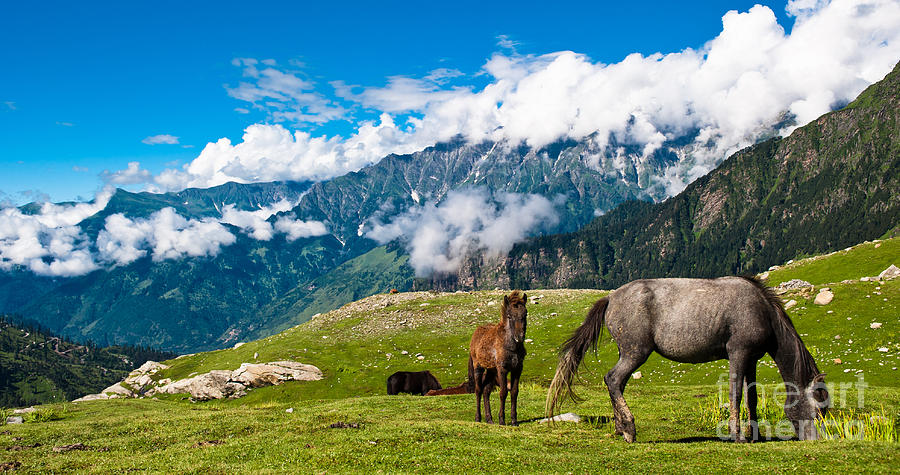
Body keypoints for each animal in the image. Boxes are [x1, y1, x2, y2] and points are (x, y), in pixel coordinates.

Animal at [472, 290, 528, 428]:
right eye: (509, 316)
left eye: (525, 314)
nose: (520, 337)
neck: (512, 347)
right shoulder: (502, 369)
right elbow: (503, 392)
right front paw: (502, 420)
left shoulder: (517, 369)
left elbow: (514, 392)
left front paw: (514, 421)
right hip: (478, 367)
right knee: (478, 390)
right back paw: (478, 418)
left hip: (491, 370)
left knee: (486, 391)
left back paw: (489, 419)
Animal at [544, 278, 828, 444]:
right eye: (818, 410)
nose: (816, 440)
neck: (762, 310)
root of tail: (610, 298)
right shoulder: (738, 353)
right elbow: (736, 394)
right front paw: (737, 436)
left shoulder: (752, 359)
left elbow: (752, 397)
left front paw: (754, 435)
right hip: (636, 352)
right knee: (613, 379)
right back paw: (629, 430)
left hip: (628, 353)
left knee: (618, 384)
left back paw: (618, 427)